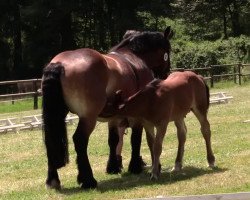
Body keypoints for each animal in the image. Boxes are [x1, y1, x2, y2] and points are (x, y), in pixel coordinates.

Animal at [42, 26, 173, 189]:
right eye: (168, 49)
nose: (166, 74)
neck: (134, 57)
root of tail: (59, 64)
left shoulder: (115, 117)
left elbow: (113, 140)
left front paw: (113, 167)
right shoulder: (136, 115)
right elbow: (135, 138)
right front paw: (135, 166)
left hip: (56, 116)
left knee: (51, 142)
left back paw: (53, 180)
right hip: (88, 118)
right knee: (80, 140)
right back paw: (88, 180)